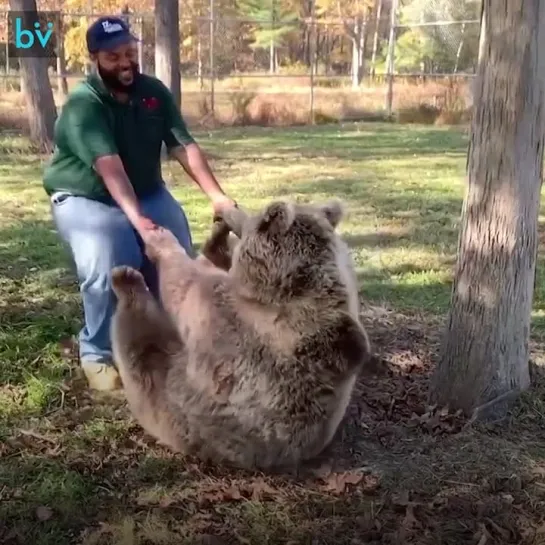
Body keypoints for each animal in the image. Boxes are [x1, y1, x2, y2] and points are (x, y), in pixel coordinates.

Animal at [110, 200, 374, 472]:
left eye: (252, 218)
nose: (227, 213)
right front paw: (217, 234)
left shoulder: (232, 330)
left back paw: (126, 280)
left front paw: (160, 240)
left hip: (168, 403)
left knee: (137, 342)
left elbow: (184, 287)